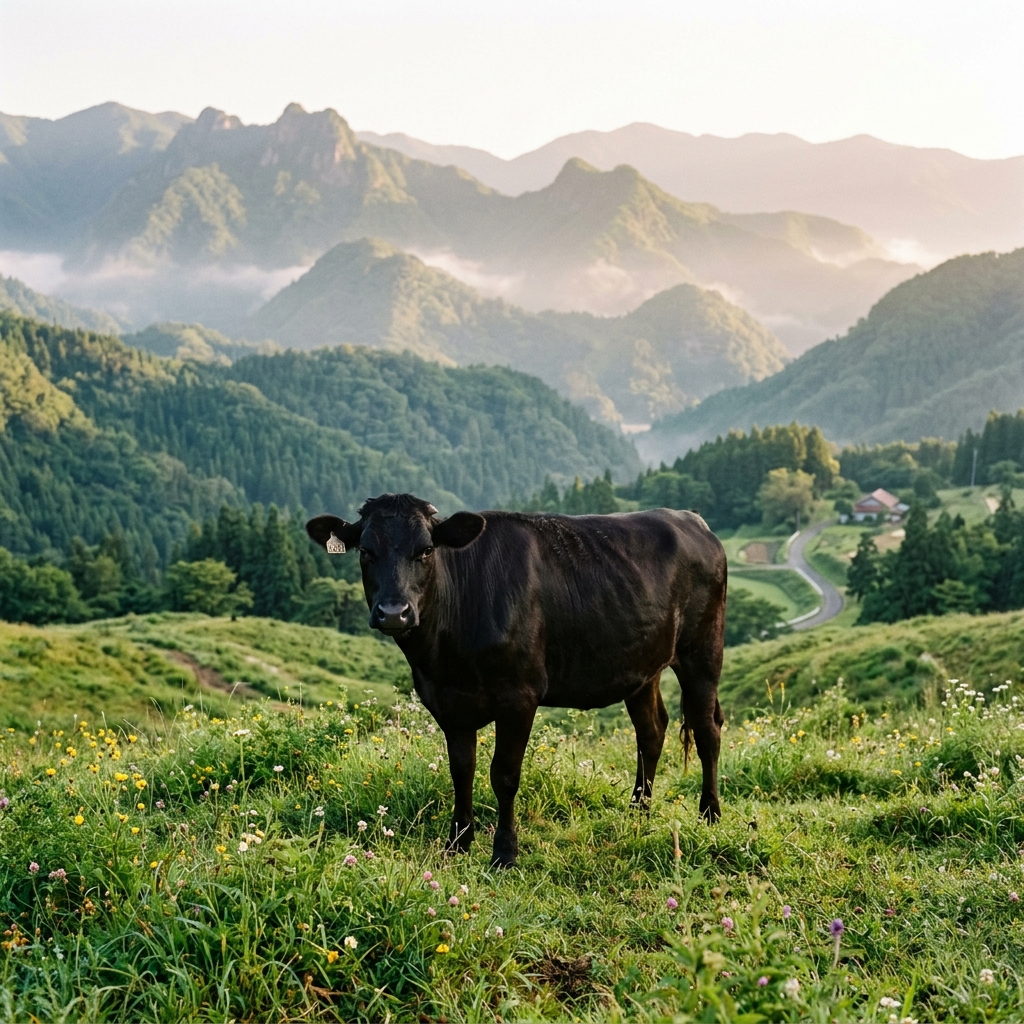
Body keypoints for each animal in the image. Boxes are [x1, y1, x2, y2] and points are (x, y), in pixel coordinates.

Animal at [307, 493, 727, 868]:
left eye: (425, 550)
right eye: (365, 551)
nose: (395, 612)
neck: (445, 654)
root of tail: (691, 519)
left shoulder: (519, 697)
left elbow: (504, 775)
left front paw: (504, 854)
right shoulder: (446, 700)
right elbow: (462, 770)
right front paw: (456, 844)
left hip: (702, 651)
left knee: (707, 730)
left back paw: (710, 814)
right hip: (641, 666)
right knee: (651, 732)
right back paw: (638, 810)